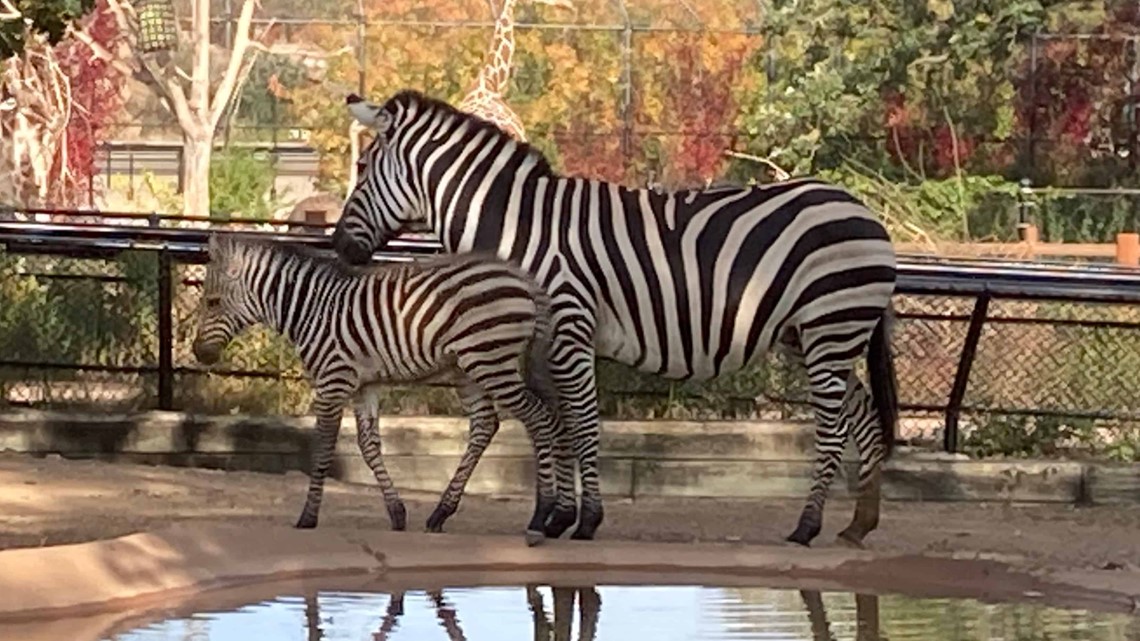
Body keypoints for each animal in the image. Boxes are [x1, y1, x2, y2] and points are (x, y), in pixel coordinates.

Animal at [190, 233, 568, 545]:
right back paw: (441, 513)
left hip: (490, 361)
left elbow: (323, 448)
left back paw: (539, 517)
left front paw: (308, 516)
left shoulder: (333, 380)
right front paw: (396, 513)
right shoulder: (363, 385)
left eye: (212, 302)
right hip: (467, 368)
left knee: (538, 418)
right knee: (486, 424)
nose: (198, 353)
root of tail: (524, 278)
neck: (312, 310)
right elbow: (369, 446)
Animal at [332, 89, 899, 549]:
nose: (339, 246)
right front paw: (559, 516)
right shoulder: (546, 340)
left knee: (834, 426)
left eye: (363, 170)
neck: (519, 226)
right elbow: (561, 421)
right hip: (813, 335)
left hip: (831, 325)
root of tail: (865, 211)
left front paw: (584, 520)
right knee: (863, 415)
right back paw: (859, 525)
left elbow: (583, 422)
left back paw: (807, 527)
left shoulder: (569, 324)